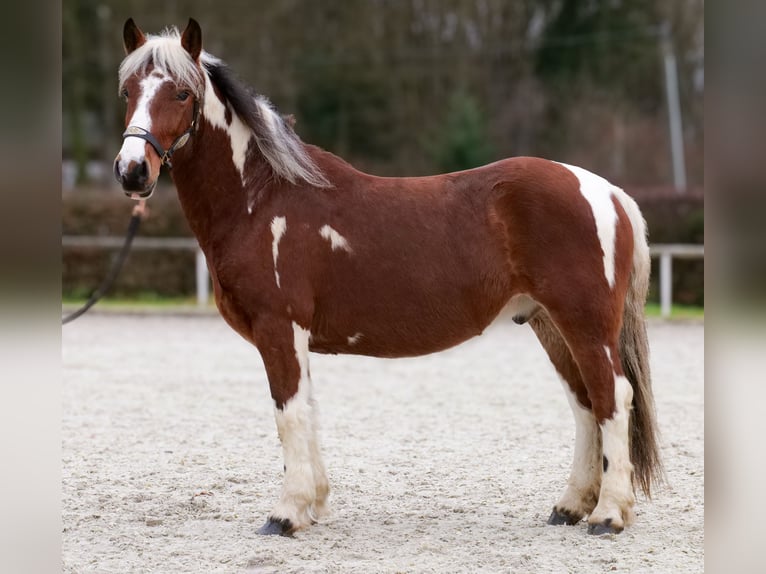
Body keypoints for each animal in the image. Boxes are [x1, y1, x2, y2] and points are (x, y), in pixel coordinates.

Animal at [113, 18, 663, 537]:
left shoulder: (279, 328)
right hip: (551, 325)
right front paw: (314, 504)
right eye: (127, 91)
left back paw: (608, 515)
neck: (262, 197)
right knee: (586, 404)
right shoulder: (295, 338)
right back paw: (570, 507)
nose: (132, 171)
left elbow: (288, 414)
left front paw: (286, 514)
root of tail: (605, 191)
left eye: (182, 93)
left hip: (585, 326)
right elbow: (307, 412)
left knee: (614, 399)